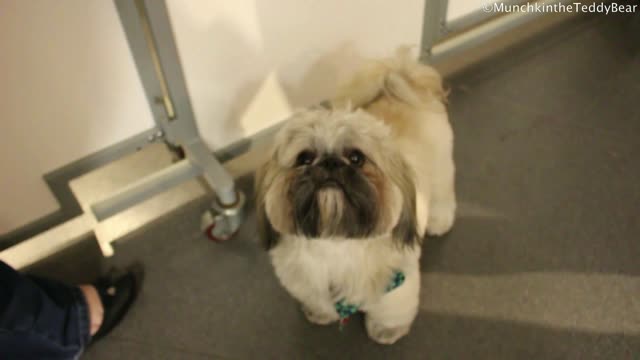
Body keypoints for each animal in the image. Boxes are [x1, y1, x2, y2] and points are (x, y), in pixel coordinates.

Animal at [255, 47, 456, 344]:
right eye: (304, 158)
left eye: (356, 158)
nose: (329, 163)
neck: (336, 240)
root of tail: (404, 74)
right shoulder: (306, 280)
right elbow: (317, 298)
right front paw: (321, 314)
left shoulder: (396, 281)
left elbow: (391, 308)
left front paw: (386, 330)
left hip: (441, 167)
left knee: (443, 194)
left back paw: (439, 222)